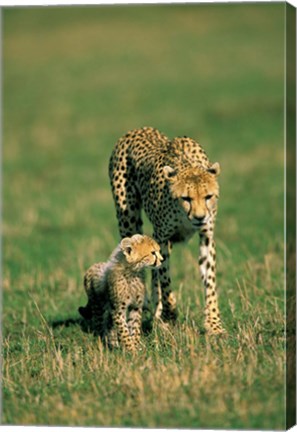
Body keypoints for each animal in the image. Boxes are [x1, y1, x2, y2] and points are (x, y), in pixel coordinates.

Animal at [109, 125, 224, 334]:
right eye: (186, 198)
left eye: (208, 196)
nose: (200, 217)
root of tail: (138, 129)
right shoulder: (162, 238)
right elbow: (165, 279)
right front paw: (171, 314)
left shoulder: (206, 236)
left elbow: (210, 282)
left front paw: (214, 325)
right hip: (128, 219)